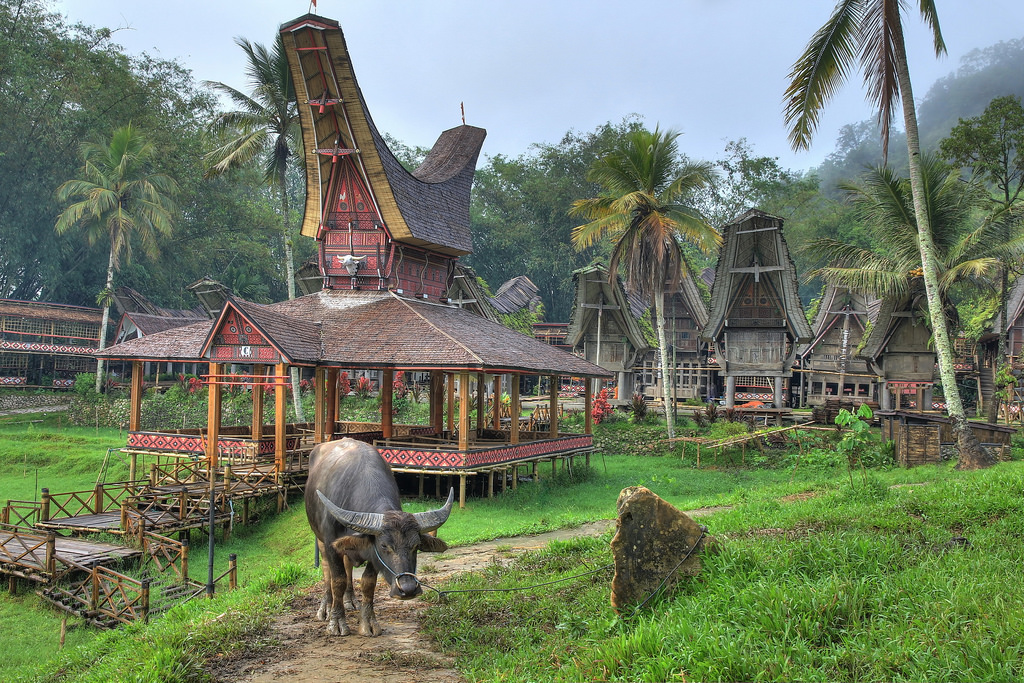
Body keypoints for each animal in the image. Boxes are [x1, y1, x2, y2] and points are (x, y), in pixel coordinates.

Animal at [299, 440, 452, 638]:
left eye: (416, 545)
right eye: (384, 545)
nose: (408, 589)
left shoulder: (372, 554)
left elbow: (368, 583)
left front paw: (368, 623)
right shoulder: (332, 543)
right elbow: (337, 580)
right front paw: (337, 622)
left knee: (348, 565)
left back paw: (350, 600)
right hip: (319, 538)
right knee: (327, 570)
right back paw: (326, 607)